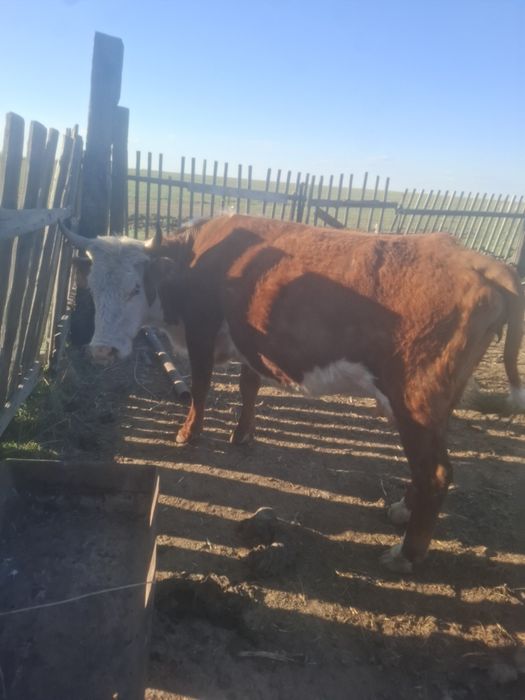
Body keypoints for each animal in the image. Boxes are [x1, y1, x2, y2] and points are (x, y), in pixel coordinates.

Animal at [60, 215, 525, 573]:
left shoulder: (201, 329)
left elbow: (202, 385)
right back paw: (402, 511)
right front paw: (242, 434)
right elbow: (248, 386)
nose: (101, 351)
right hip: (432, 406)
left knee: (436, 473)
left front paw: (188, 434)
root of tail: (481, 261)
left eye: (136, 288)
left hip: (417, 401)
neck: (197, 257)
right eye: (92, 288)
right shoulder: (248, 341)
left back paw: (405, 554)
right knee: (428, 468)